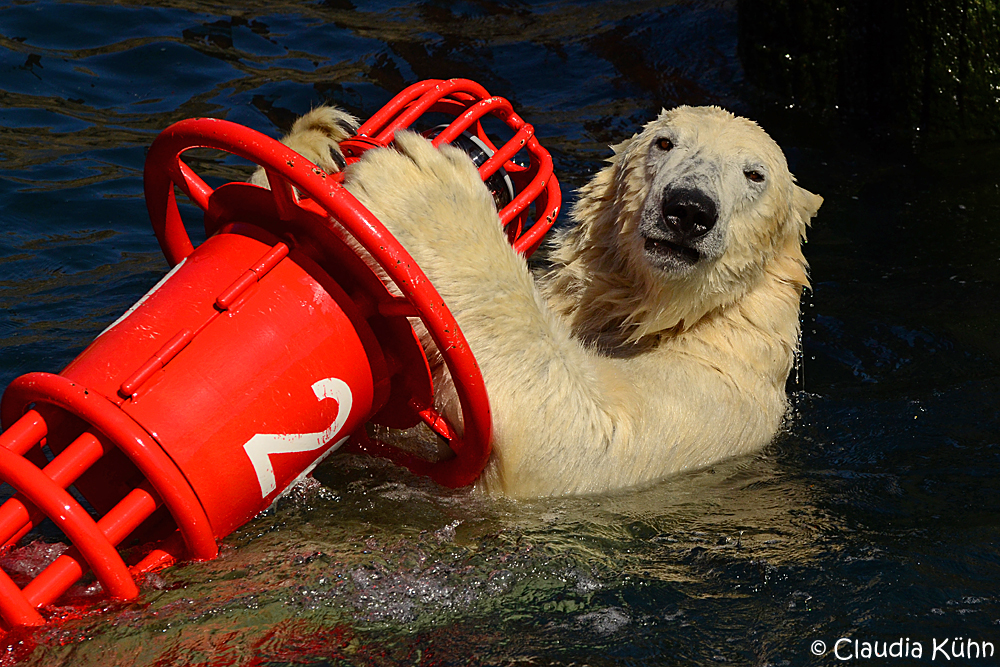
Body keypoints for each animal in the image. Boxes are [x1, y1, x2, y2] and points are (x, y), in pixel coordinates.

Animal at [266, 104, 820, 498]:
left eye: (755, 174)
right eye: (665, 142)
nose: (687, 208)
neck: (671, 316)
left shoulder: (718, 395)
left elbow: (583, 438)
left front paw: (429, 193)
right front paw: (321, 142)